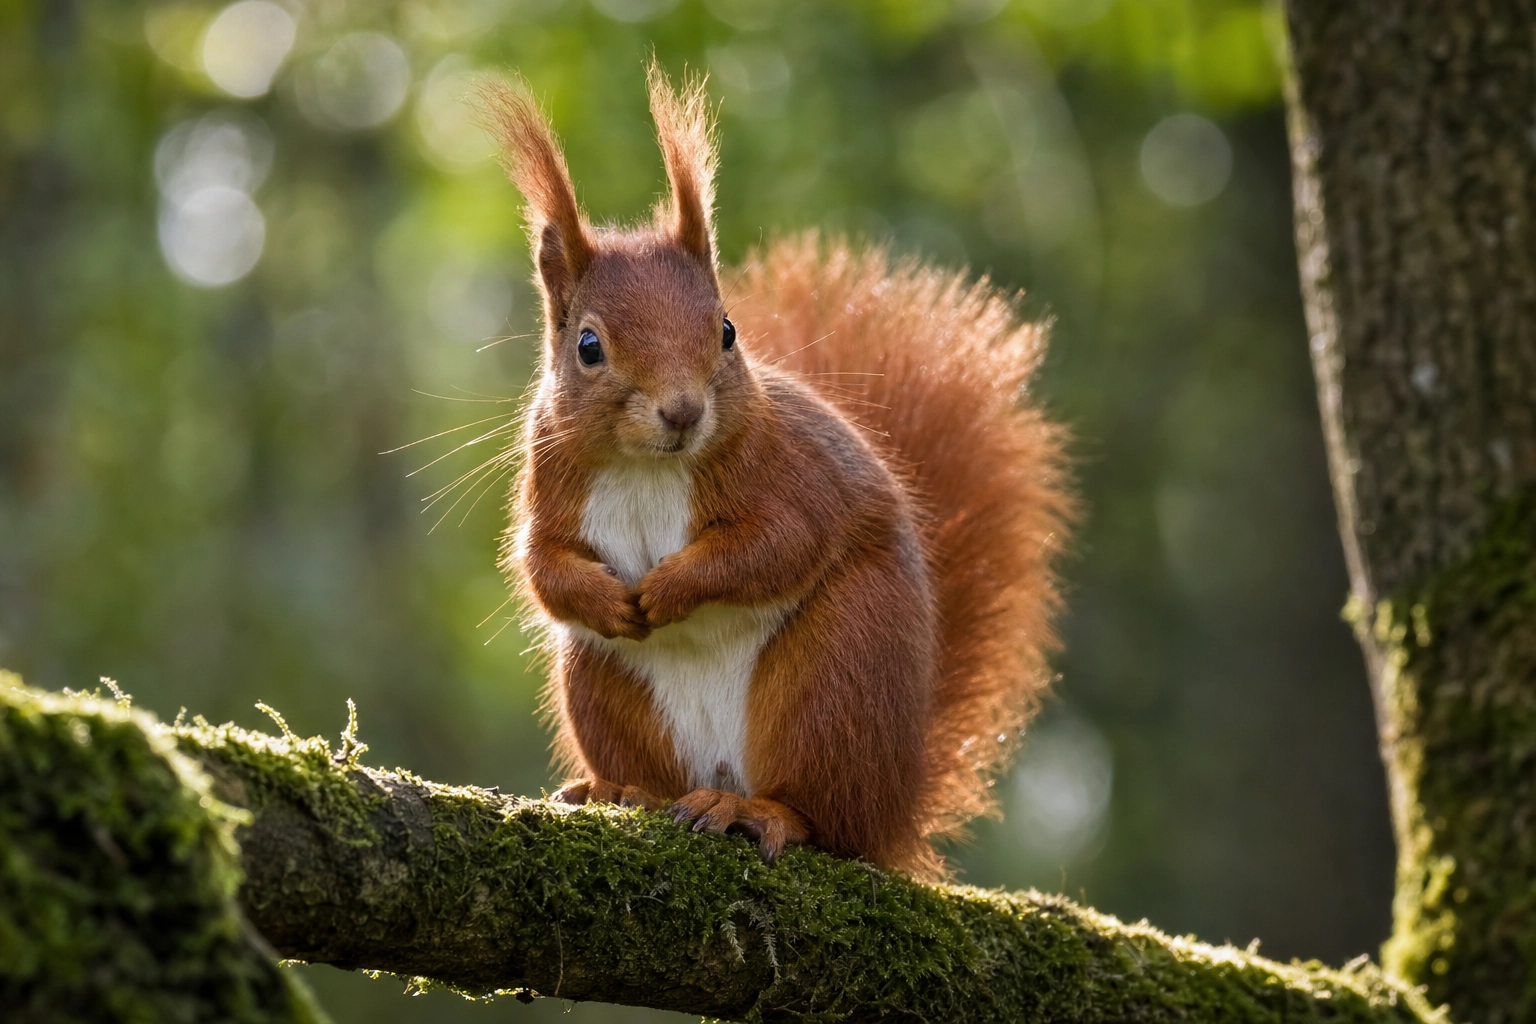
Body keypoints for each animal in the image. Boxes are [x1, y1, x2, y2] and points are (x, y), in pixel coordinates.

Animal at [479, 66, 1071, 878]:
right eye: (588, 346)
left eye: (727, 331)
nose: (682, 411)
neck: (648, 467)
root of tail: (896, 813)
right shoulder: (551, 480)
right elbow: (540, 565)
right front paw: (605, 599)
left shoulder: (790, 474)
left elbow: (778, 546)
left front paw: (670, 587)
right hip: (602, 682)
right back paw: (623, 791)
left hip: (838, 674)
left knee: (824, 817)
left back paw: (758, 812)